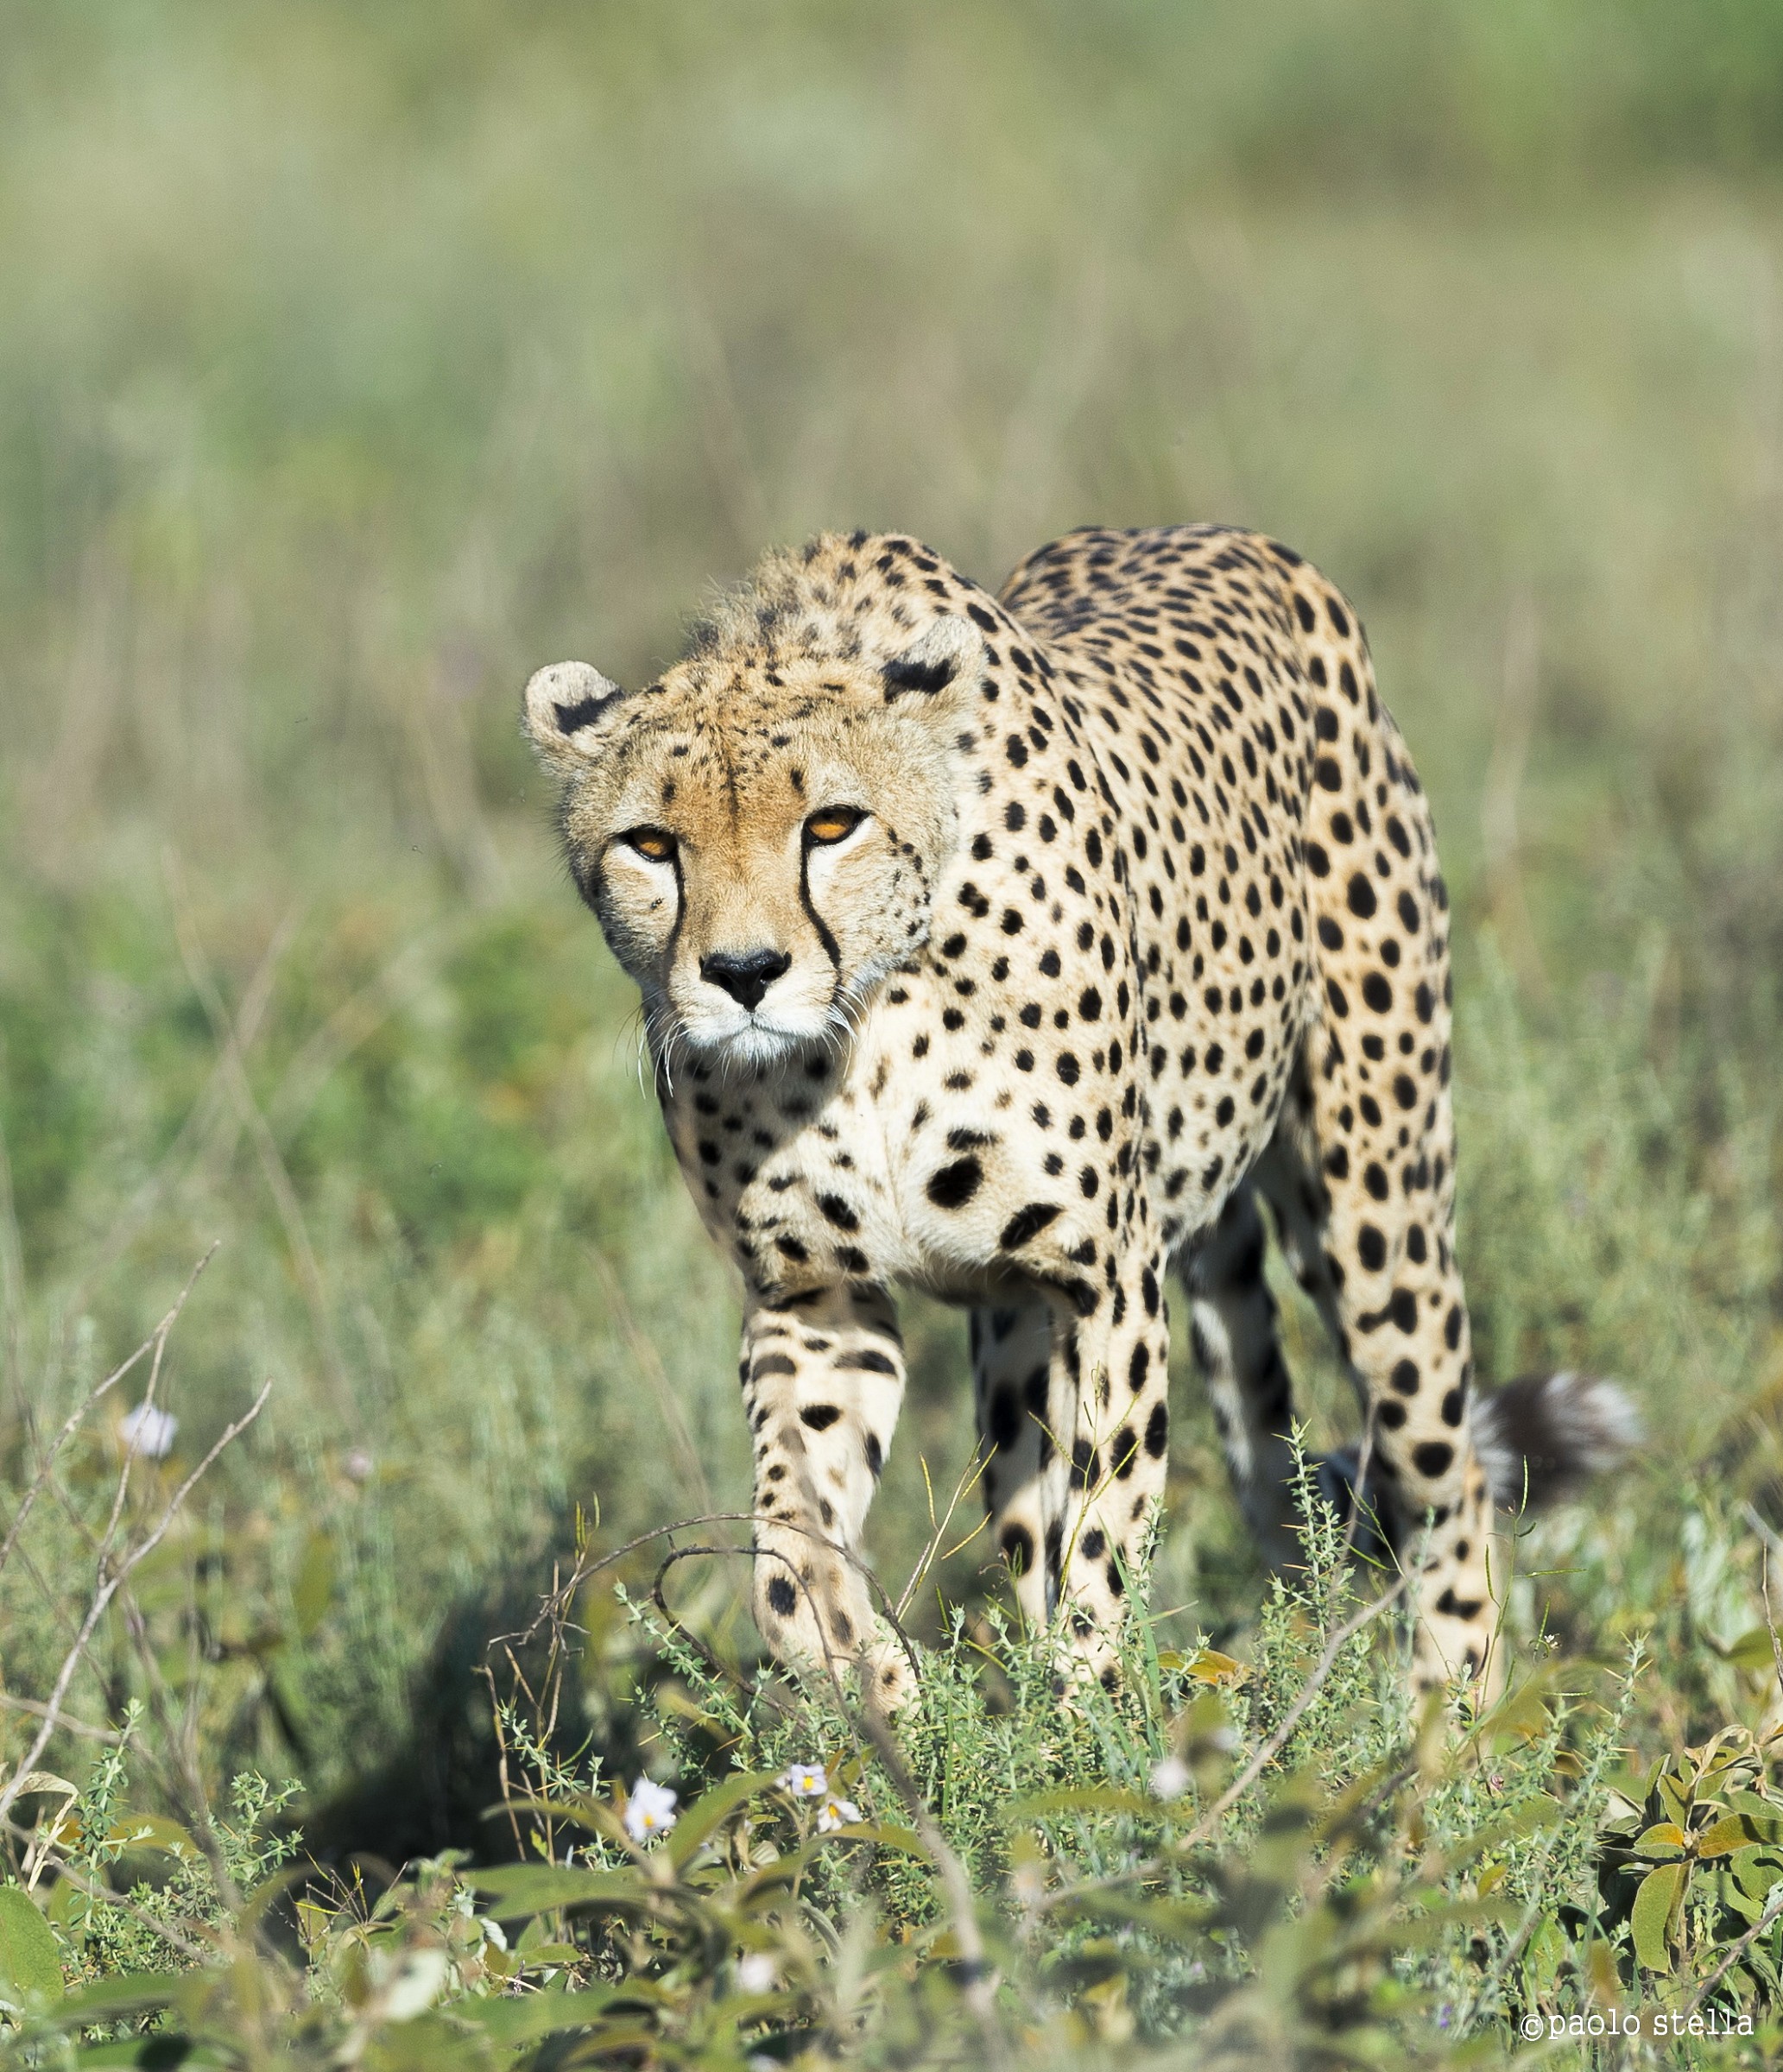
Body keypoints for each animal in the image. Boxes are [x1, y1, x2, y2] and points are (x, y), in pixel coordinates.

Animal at [522, 523, 1636, 1708]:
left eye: (831, 823)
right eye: (650, 843)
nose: (742, 975)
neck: (863, 1027)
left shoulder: (1106, 1276)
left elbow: (1104, 1544)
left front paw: (1084, 1728)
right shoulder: (813, 1295)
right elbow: (787, 1548)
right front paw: (878, 1688)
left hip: (1377, 1211)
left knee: (1443, 1473)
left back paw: (1450, 1726)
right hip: (1019, 1338)